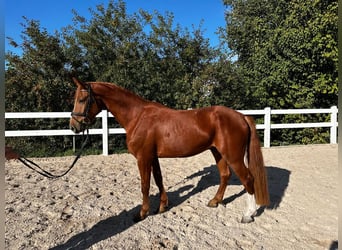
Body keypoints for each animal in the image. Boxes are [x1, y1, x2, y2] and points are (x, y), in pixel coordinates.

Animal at [70, 77, 270, 223]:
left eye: (82, 99)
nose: (74, 126)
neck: (138, 116)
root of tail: (241, 116)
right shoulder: (152, 157)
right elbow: (159, 180)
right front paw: (162, 206)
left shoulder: (143, 158)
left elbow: (145, 185)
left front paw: (142, 213)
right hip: (217, 152)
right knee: (225, 175)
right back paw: (215, 201)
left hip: (233, 156)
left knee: (248, 179)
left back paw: (248, 215)